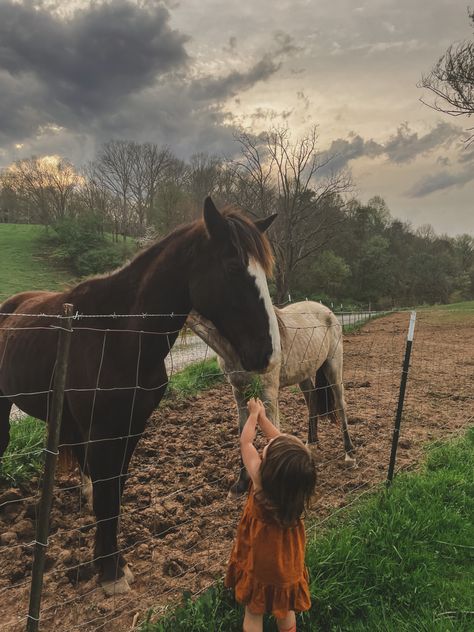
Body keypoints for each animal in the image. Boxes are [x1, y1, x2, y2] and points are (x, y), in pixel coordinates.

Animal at [0, 200, 278, 596]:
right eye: (232, 267)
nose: (267, 353)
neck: (119, 336)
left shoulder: (130, 427)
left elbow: (113, 493)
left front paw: (112, 563)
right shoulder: (103, 432)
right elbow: (107, 496)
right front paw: (109, 572)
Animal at [188, 298, 356, 496]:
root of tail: (326, 310)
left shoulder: (269, 394)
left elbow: (272, 432)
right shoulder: (239, 393)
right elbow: (243, 432)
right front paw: (240, 484)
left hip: (333, 366)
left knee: (340, 404)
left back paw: (350, 455)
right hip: (304, 373)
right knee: (312, 401)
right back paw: (311, 445)